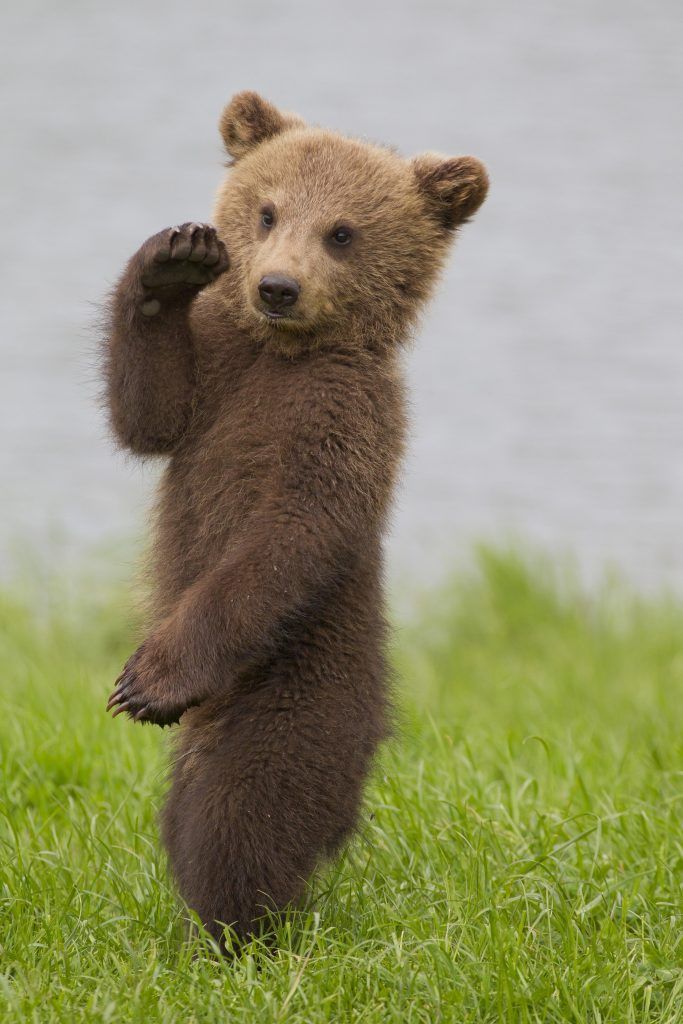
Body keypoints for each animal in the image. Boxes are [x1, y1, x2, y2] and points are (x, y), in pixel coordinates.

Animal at [101, 92, 489, 946]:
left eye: (341, 232)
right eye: (268, 210)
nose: (277, 287)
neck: (279, 354)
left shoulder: (339, 423)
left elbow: (285, 539)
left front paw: (145, 681)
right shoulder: (215, 383)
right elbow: (148, 413)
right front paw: (171, 262)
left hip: (296, 691)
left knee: (241, 812)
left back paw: (235, 931)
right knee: (190, 810)